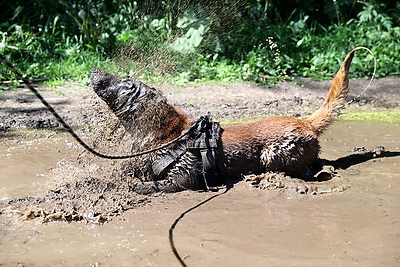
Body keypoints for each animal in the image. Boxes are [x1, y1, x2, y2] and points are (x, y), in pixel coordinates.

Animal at [90, 48, 360, 195]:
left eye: (126, 83)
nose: (94, 69)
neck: (166, 133)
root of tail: (307, 124)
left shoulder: (184, 174)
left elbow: (162, 183)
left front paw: (141, 187)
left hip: (271, 155)